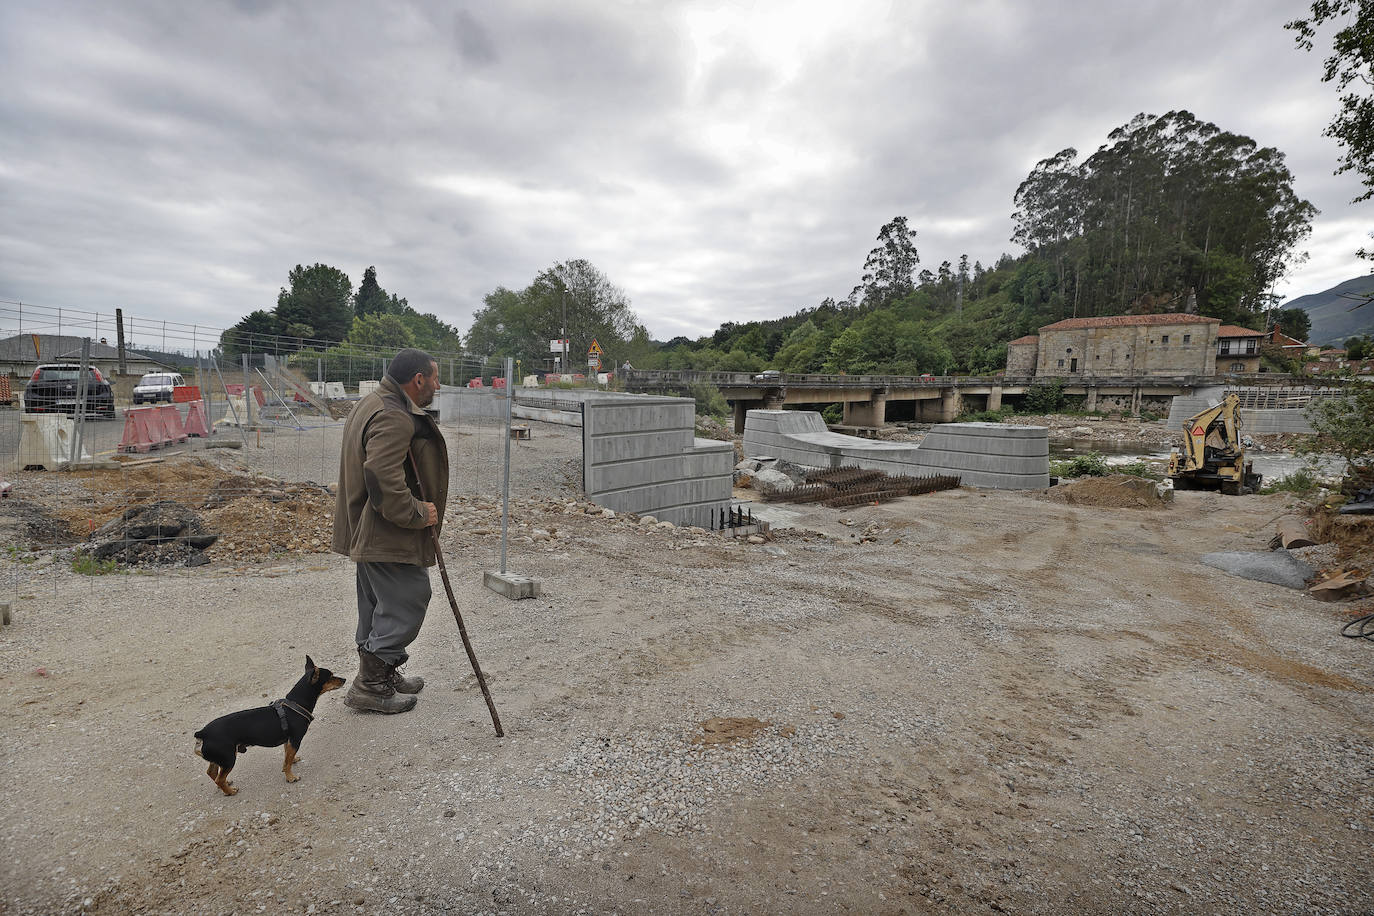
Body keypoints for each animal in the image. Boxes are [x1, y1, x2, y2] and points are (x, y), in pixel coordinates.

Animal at [192, 656, 343, 796]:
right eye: (331, 676)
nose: (345, 679)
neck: (296, 703)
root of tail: (203, 732)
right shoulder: (295, 740)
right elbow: (287, 762)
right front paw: (290, 777)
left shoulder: (288, 740)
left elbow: (287, 756)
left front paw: (293, 761)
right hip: (229, 758)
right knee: (219, 778)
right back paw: (230, 791)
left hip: (220, 759)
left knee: (212, 773)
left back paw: (226, 785)